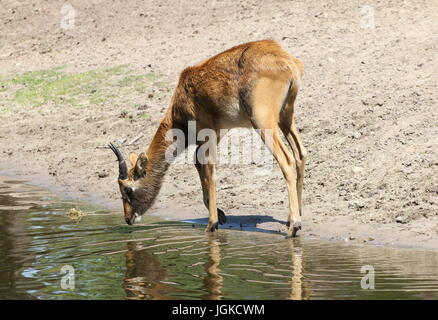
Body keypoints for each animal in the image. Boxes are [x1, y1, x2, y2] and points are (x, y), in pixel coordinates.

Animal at [109, 40, 306, 238]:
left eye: (127, 189)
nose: (128, 218)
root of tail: (287, 61)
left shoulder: (207, 134)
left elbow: (208, 168)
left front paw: (212, 223)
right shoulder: (216, 134)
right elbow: (198, 163)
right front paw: (220, 215)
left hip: (263, 122)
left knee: (287, 160)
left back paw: (294, 226)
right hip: (286, 117)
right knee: (300, 154)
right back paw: (292, 217)